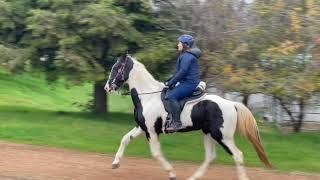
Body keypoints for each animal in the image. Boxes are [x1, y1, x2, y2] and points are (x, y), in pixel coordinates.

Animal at [104, 54, 272, 180]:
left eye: (116, 68)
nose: (107, 87)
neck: (148, 97)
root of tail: (232, 104)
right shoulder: (142, 127)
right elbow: (125, 139)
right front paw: (115, 163)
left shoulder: (151, 132)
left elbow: (156, 153)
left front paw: (172, 173)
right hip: (208, 134)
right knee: (210, 157)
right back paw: (193, 177)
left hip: (223, 137)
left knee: (237, 155)